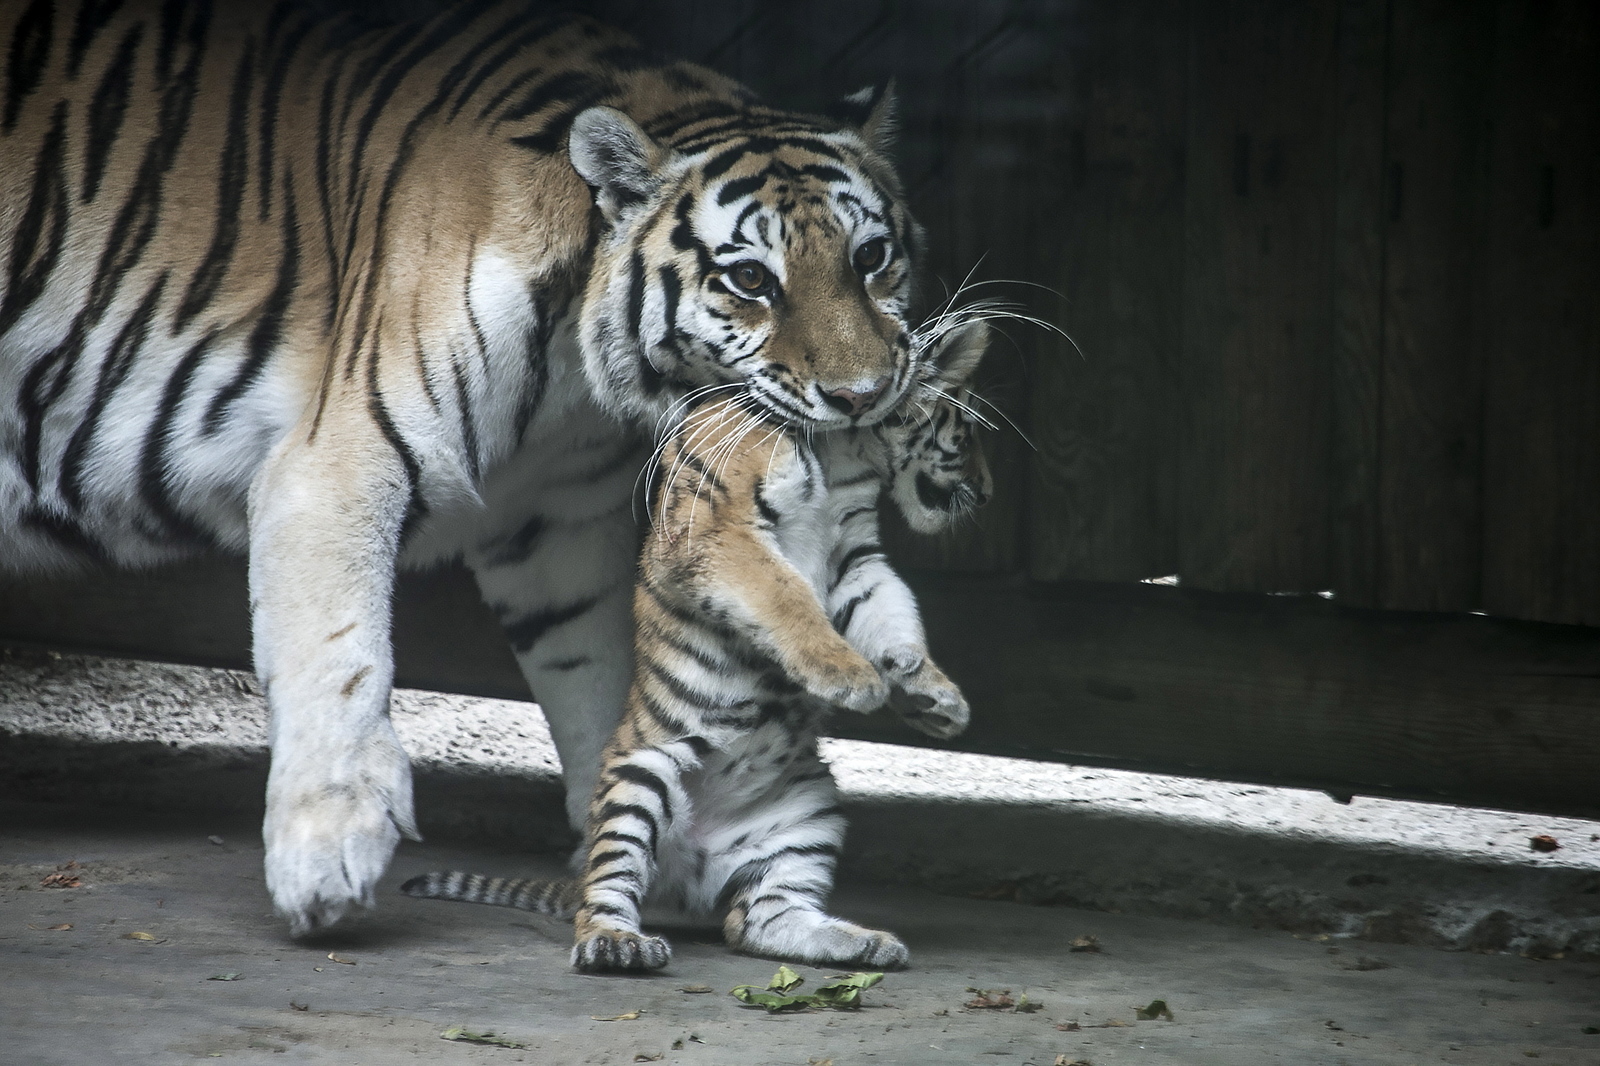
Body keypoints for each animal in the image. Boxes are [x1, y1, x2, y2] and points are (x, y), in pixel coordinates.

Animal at [0, 0, 928, 934]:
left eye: (871, 258)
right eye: (750, 280)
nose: (862, 395)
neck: (578, 380)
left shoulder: (559, 523)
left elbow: (600, 679)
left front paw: (642, 847)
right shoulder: (338, 461)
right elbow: (340, 652)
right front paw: (326, 856)